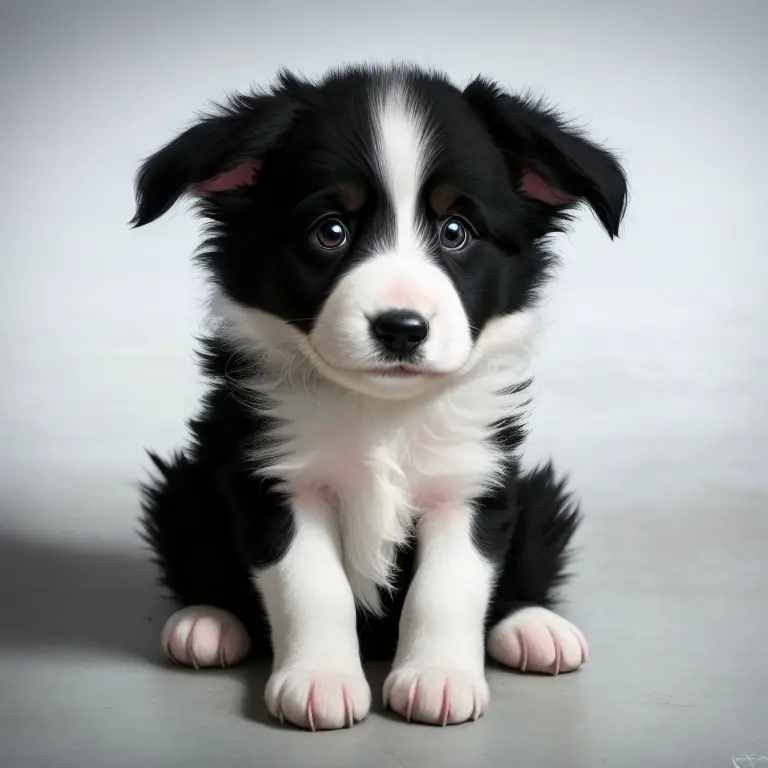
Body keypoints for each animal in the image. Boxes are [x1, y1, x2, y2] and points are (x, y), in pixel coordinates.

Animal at [134, 63, 624, 728]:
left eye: (456, 231)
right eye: (331, 231)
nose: (401, 327)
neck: (381, 413)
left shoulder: (471, 480)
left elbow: (448, 588)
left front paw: (438, 678)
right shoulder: (272, 478)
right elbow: (314, 587)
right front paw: (320, 680)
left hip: (537, 494)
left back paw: (533, 627)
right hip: (184, 486)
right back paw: (207, 621)